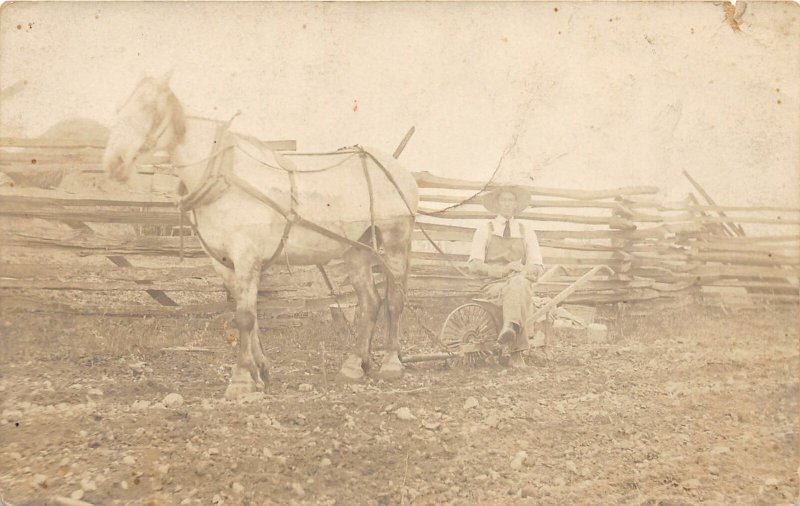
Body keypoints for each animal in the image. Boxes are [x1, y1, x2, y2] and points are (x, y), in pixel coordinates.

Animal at [101, 74, 418, 400]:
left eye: (150, 109)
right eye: (120, 108)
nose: (114, 162)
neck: (225, 179)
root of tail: (398, 169)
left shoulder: (246, 256)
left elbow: (245, 317)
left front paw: (241, 379)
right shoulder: (224, 263)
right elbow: (247, 316)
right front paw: (260, 372)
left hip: (395, 239)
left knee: (394, 300)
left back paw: (391, 364)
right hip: (357, 248)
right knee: (370, 302)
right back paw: (354, 365)